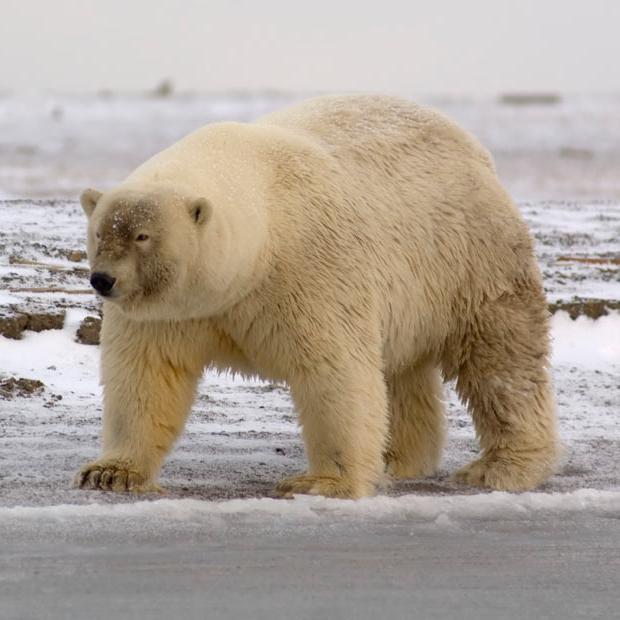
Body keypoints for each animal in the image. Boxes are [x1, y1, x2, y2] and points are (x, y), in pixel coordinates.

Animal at [75, 93, 560, 498]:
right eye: (100, 232)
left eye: (142, 236)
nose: (103, 280)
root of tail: (474, 148)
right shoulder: (172, 311)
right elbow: (146, 375)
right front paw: (110, 473)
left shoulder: (309, 270)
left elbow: (335, 371)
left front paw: (320, 482)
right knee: (401, 372)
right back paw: (395, 458)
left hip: (469, 258)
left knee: (500, 360)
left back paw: (502, 467)